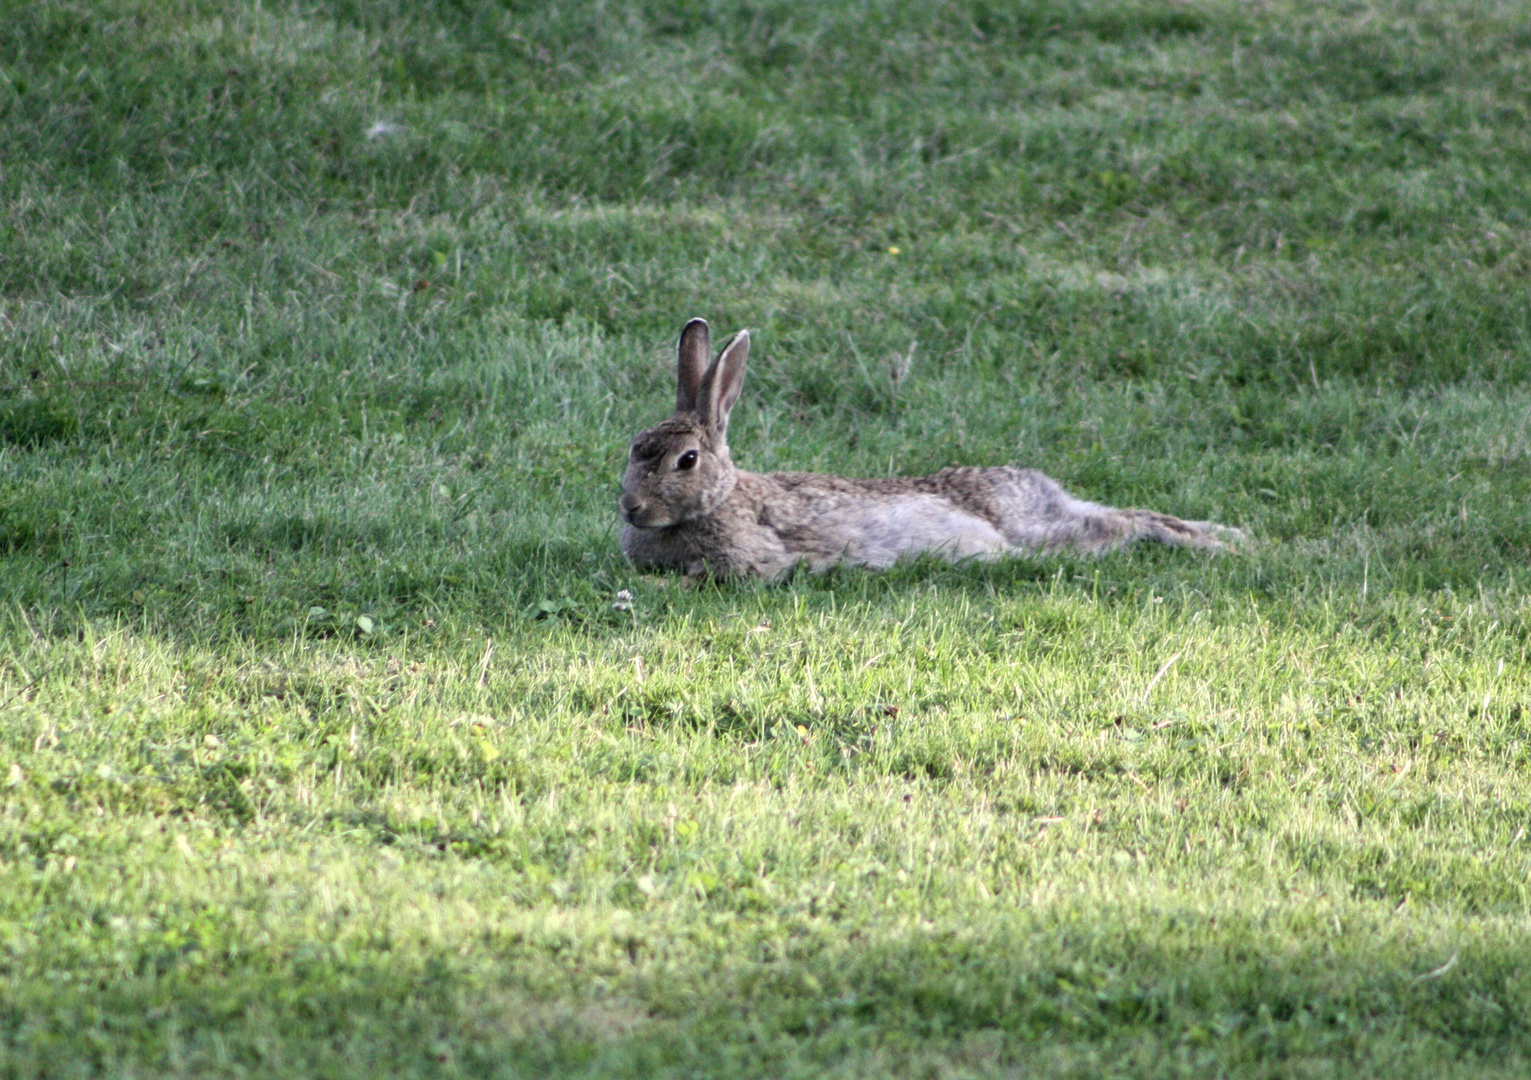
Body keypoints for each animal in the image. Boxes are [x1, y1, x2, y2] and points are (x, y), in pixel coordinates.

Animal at [615, 315, 1237, 576]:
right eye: (635, 447)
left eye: (686, 461)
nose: (631, 507)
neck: (721, 499)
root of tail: (1044, 490)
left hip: (1042, 534)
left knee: (1121, 525)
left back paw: (1224, 544)